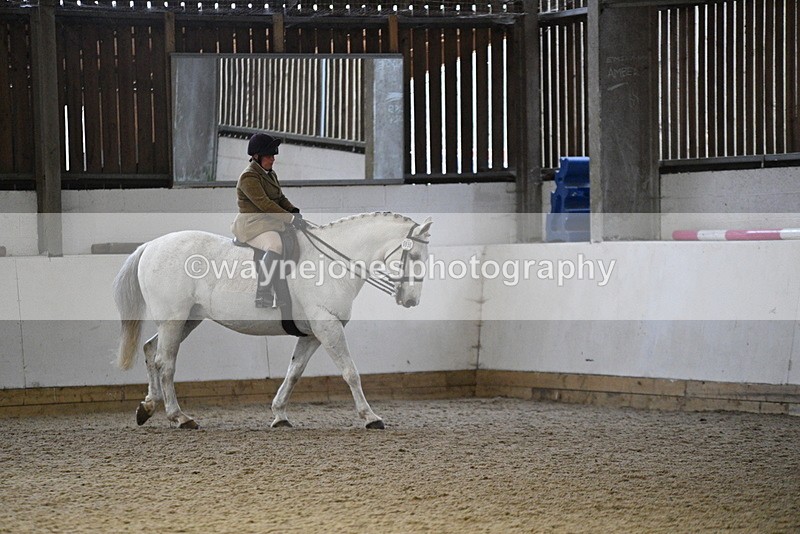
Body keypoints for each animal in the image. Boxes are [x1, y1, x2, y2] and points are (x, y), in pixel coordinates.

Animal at [113, 212, 433, 430]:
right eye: (415, 256)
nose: (411, 301)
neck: (332, 264)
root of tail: (150, 246)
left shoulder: (312, 334)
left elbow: (294, 372)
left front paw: (279, 415)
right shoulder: (328, 327)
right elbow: (350, 372)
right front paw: (370, 417)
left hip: (186, 320)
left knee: (151, 350)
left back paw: (148, 407)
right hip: (173, 319)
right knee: (165, 363)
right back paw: (179, 417)